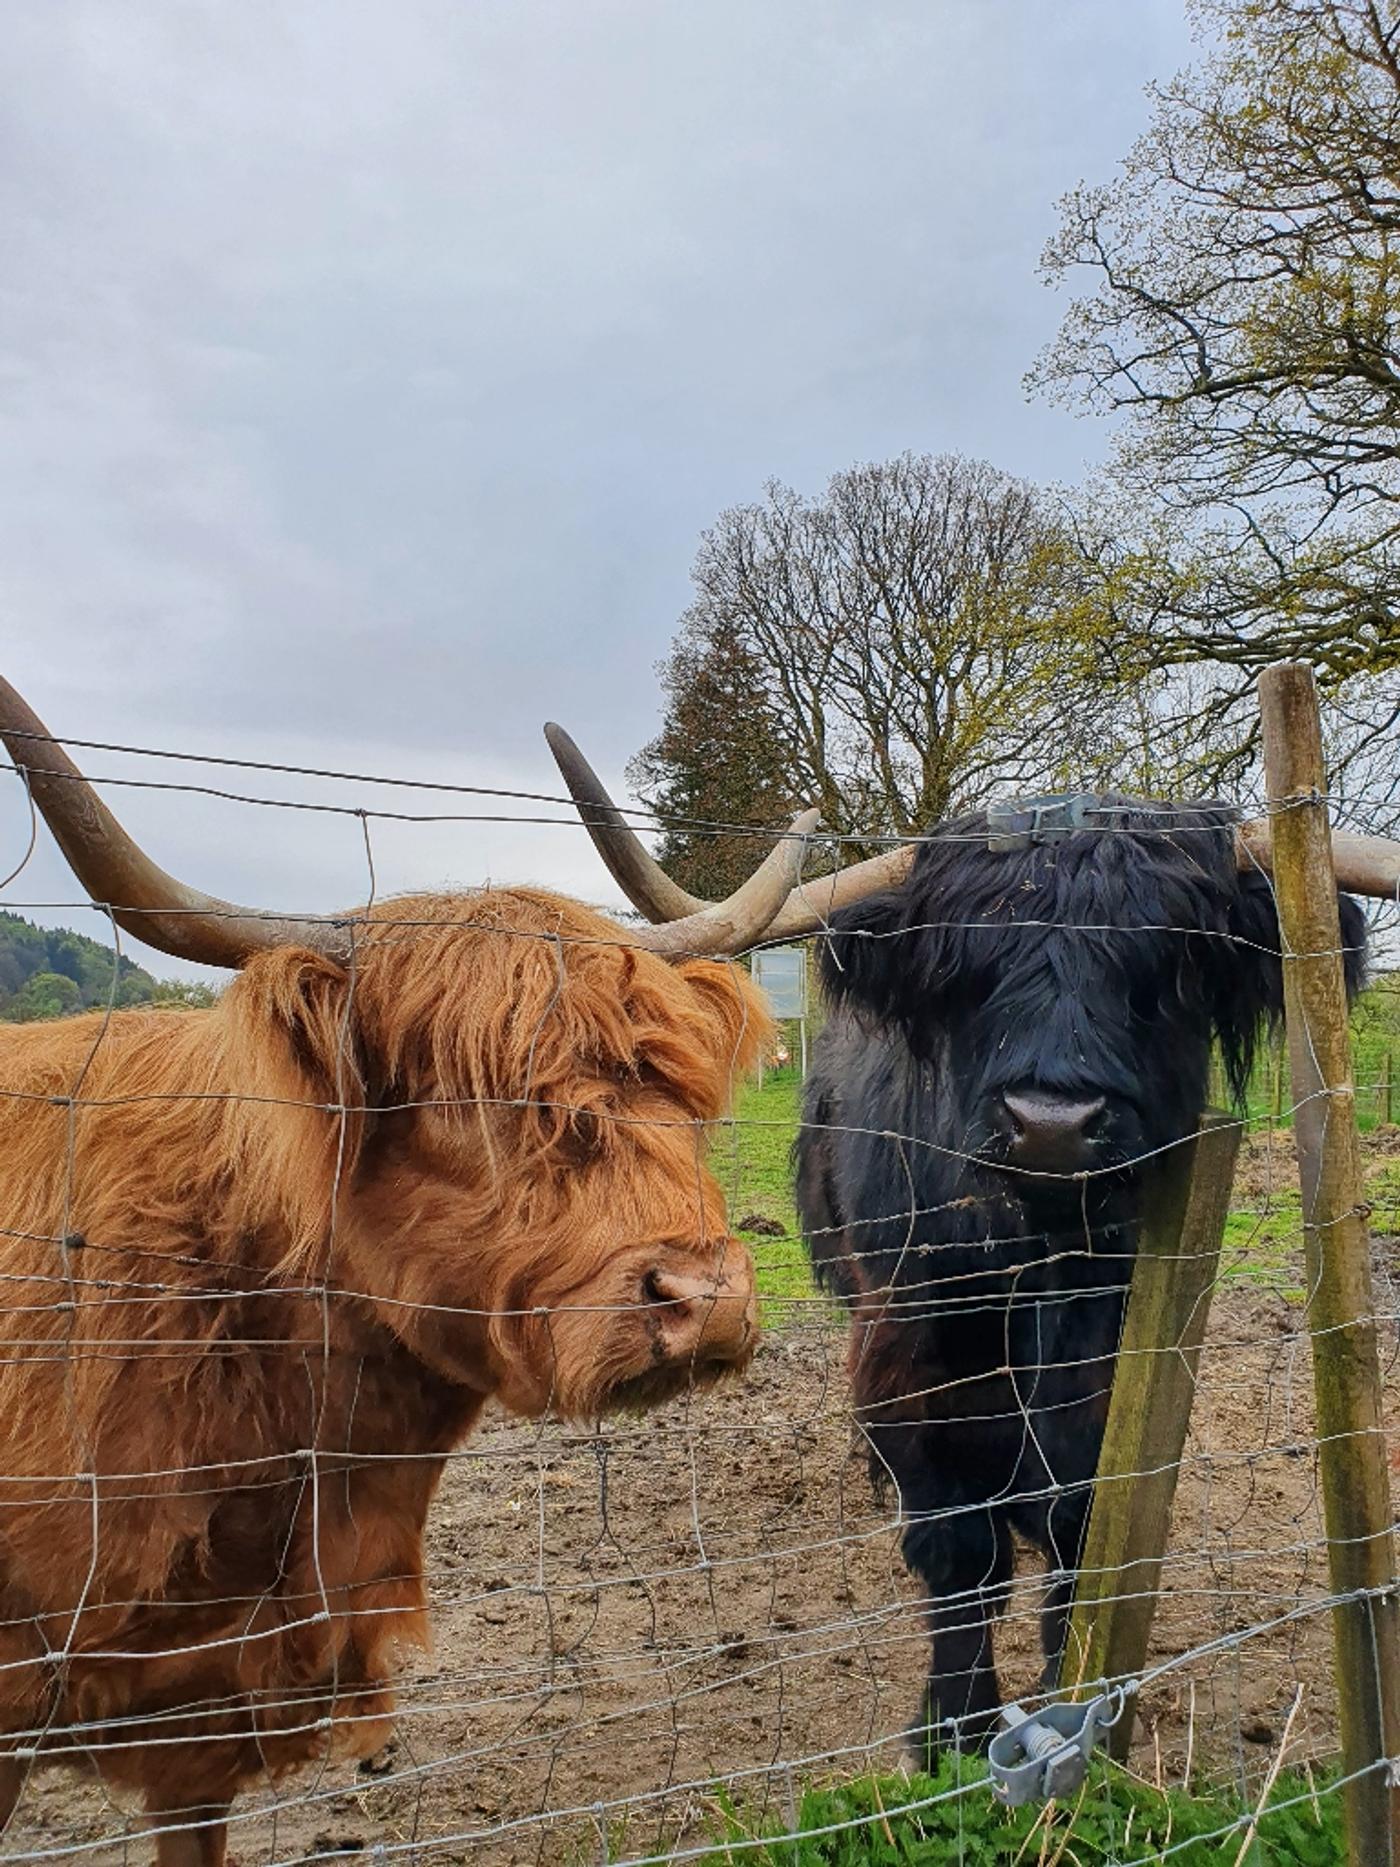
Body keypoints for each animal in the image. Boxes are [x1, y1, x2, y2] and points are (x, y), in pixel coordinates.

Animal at [542, 735, 1398, 1761]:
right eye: (971, 965)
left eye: (1164, 960)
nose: (1052, 1123)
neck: (1034, 1263)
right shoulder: (911, 1351)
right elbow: (957, 1544)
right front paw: (952, 1722)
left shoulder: (1115, 1355)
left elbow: (1078, 1522)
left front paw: (1072, 1696)